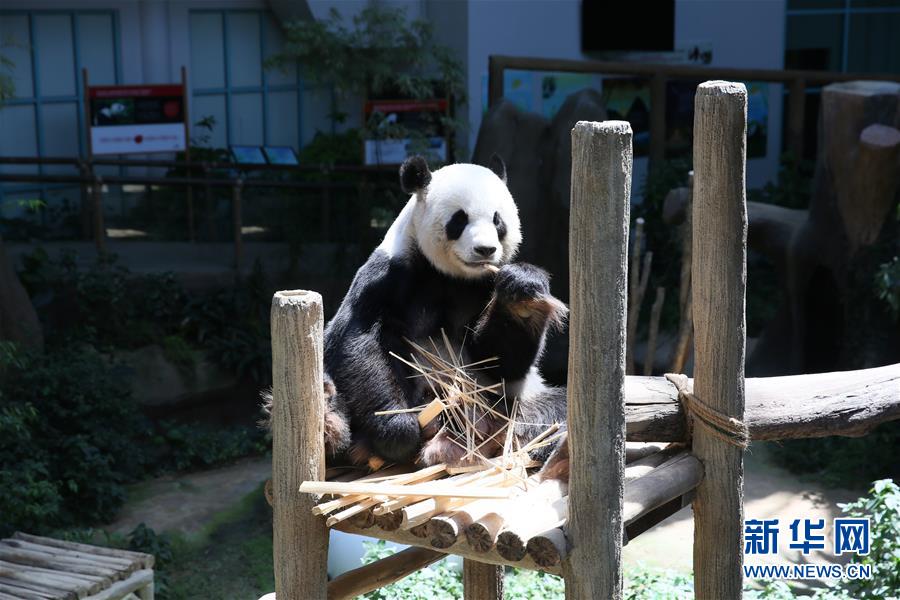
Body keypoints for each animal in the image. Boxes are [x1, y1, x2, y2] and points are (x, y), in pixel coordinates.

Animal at [316, 154, 568, 468]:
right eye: (460, 219)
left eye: (497, 220)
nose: (485, 249)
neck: (453, 276)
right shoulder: (389, 276)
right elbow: (362, 343)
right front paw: (398, 429)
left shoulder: (483, 287)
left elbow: (497, 359)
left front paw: (522, 295)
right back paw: (335, 421)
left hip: (514, 404)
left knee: (554, 413)